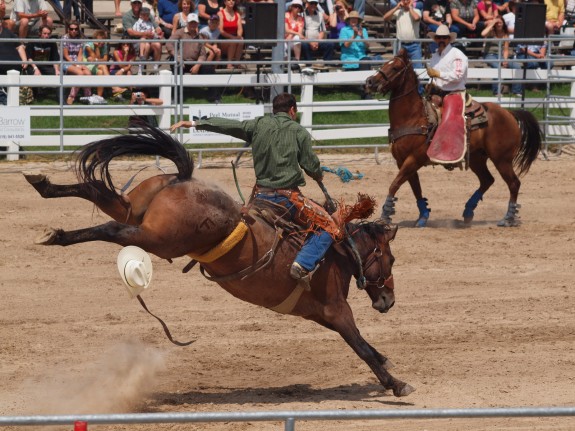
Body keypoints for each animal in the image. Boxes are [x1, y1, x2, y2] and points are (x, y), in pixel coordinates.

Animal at [24, 125, 416, 398]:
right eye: (391, 257)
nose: (389, 300)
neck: (338, 250)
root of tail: (183, 179)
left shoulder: (320, 315)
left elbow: (365, 345)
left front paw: (387, 363)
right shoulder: (336, 310)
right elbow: (361, 347)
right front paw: (396, 383)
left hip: (133, 211)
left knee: (96, 193)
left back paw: (44, 188)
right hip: (153, 238)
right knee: (110, 228)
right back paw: (56, 233)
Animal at [366, 49, 544, 228]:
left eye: (395, 67)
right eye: (385, 63)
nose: (370, 82)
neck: (413, 117)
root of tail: (510, 113)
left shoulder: (414, 159)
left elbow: (394, 185)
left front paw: (385, 216)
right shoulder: (403, 161)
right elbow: (416, 189)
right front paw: (423, 215)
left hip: (502, 159)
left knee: (514, 183)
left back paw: (508, 218)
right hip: (477, 158)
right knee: (487, 180)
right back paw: (468, 212)